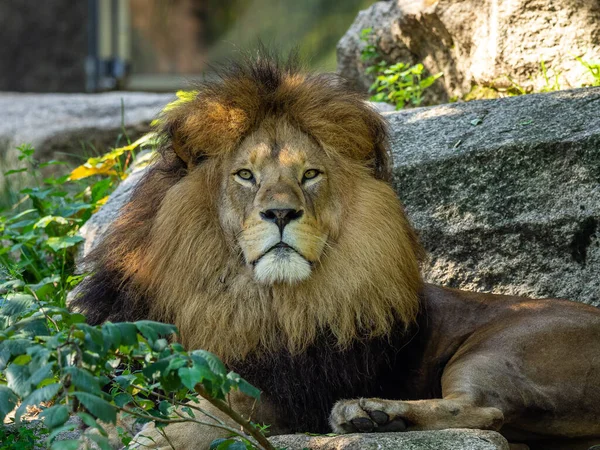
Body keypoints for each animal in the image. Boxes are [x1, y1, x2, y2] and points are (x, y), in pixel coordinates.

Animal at [75, 53, 600, 450]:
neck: (247, 298)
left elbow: (209, 411)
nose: (281, 213)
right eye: (245, 175)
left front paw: (153, 435)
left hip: (500, 344)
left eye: (310, 175)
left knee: (484, 410)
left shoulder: (286, 390)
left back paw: (367, 412)